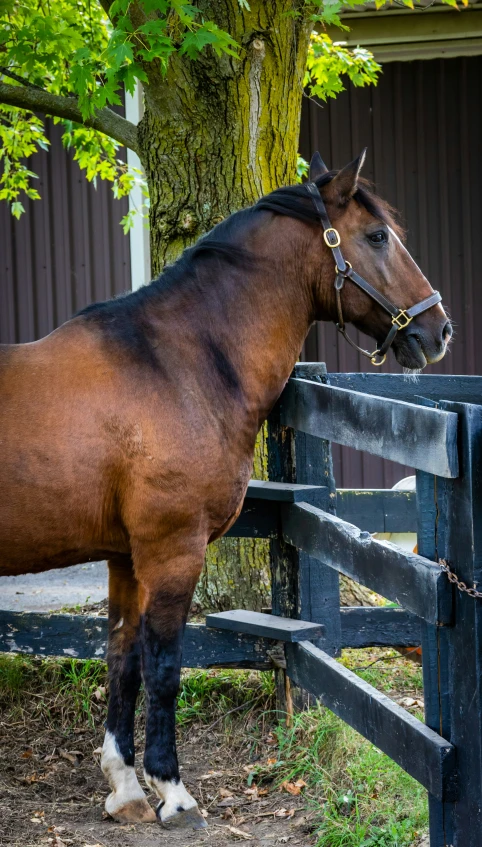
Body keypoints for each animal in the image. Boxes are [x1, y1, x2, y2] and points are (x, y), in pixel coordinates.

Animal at [0, 152, 452, 828]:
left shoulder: (126, 558)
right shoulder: (173, 551)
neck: (173, 367)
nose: (438, 330)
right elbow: (164, 667)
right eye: (377, 237)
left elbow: (122, 659)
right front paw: (173, 792)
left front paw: (125, 788)